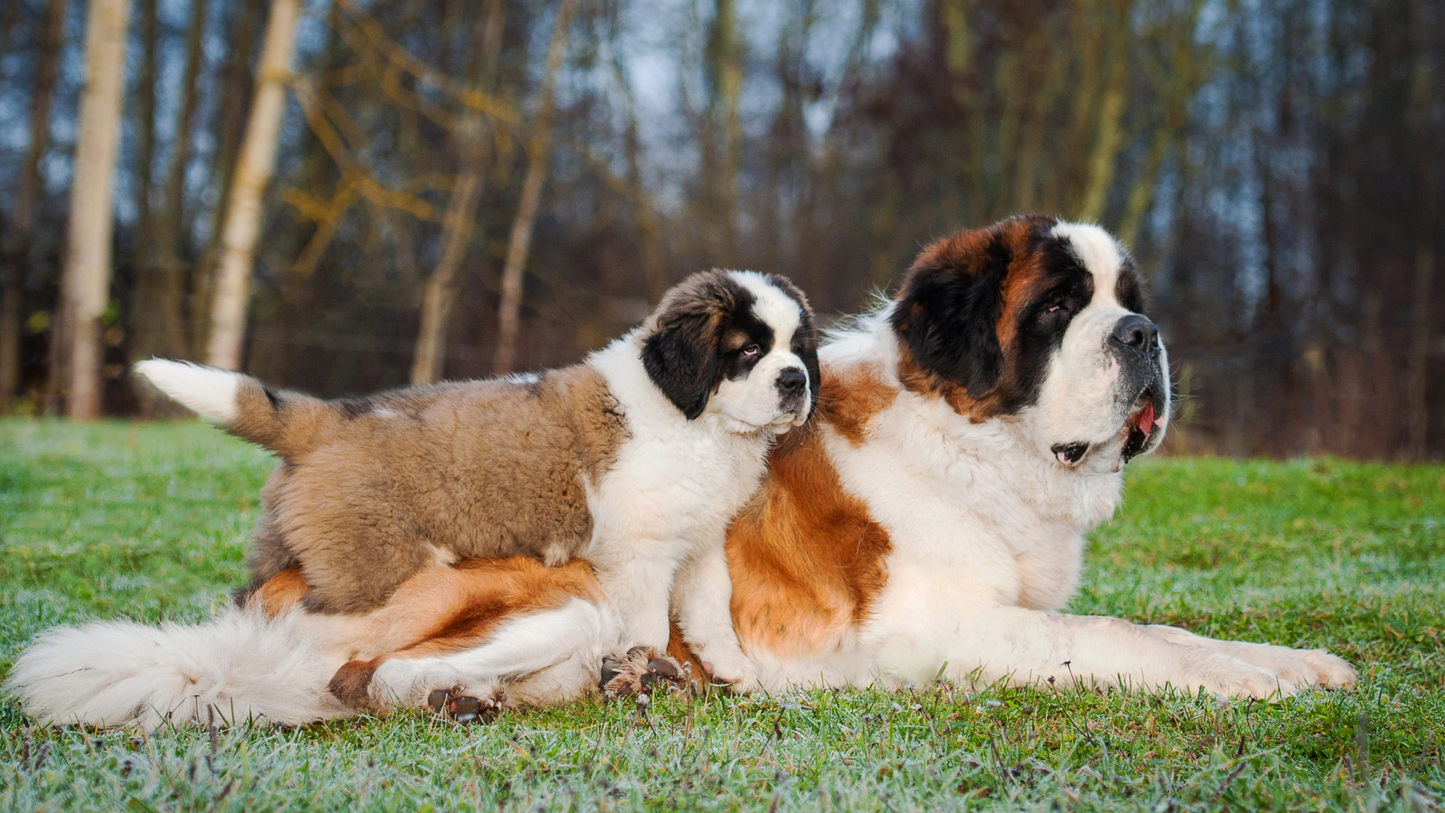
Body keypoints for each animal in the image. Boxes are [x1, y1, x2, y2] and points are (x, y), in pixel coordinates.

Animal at [11, 270, 820, 727]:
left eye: (797, 349)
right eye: (747, 351)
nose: (795, 381)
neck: (696, 417)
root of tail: (328, 417)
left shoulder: (700, 541)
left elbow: (711, 613)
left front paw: (735, 674)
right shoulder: (638, 556)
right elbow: (649, 625)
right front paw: (647, 673)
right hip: (378, 571)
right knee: (331, 655)